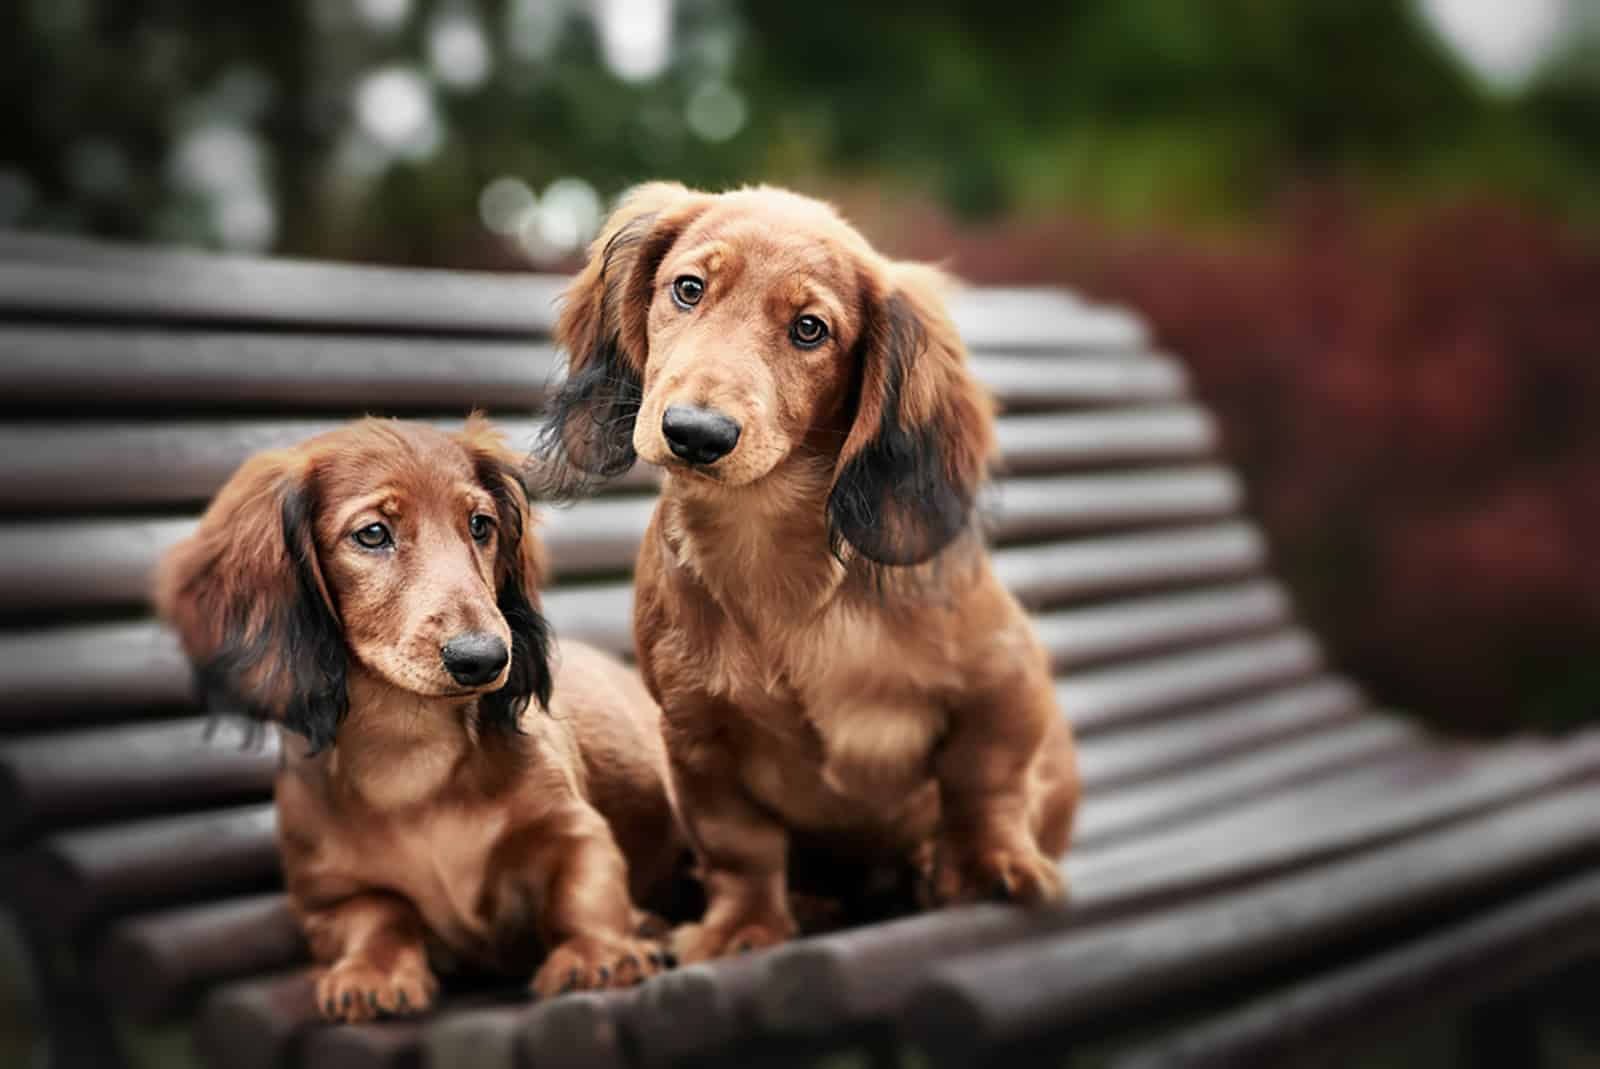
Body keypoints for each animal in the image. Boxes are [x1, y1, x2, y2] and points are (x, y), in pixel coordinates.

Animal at [150, 412, 675, 1017]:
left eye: (480, 525)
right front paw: (373, 973)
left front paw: (599, 952)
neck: (411, 753)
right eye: (373, 534)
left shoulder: (571, 826)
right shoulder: (327, 895)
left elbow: (583, 887)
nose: (484, 658)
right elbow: (377, 914)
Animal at [534, 181, 1075, 960]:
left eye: (811, 329)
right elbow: (741, 846)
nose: (695, 433)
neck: (773, 560)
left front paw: (988, 862)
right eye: (689, 288)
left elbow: (986, 782)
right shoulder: (697, 742)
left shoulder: (1003, 679)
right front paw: (743, 924)